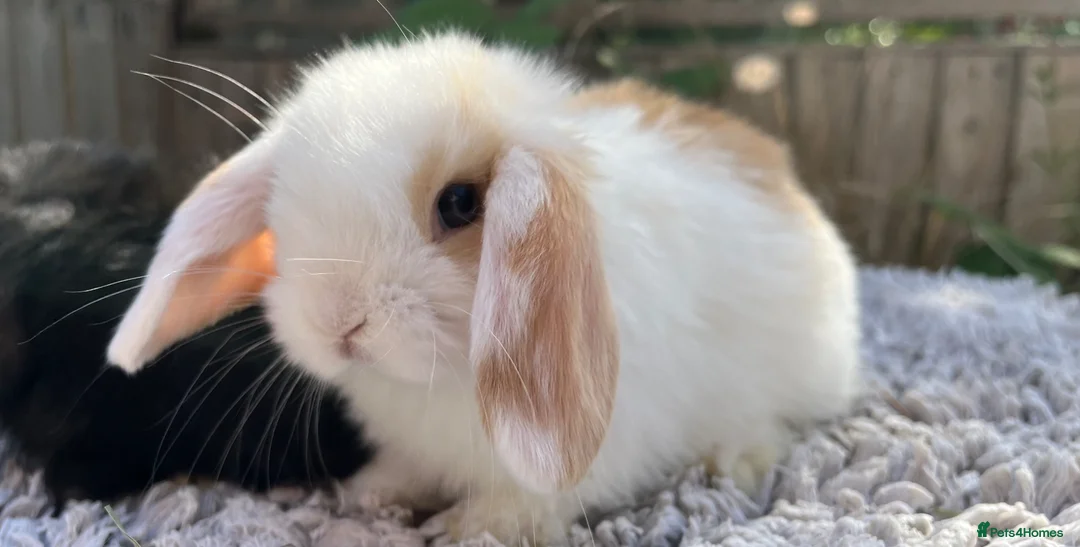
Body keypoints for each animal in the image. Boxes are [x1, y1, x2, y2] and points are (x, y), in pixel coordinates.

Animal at [103, 31, 863, 545]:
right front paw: (370, 493)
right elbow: (403, 470)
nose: (338, 324)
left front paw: (469, 528)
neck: (438, 381)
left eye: (461, 203)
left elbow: (533, 500)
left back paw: (734, 458)